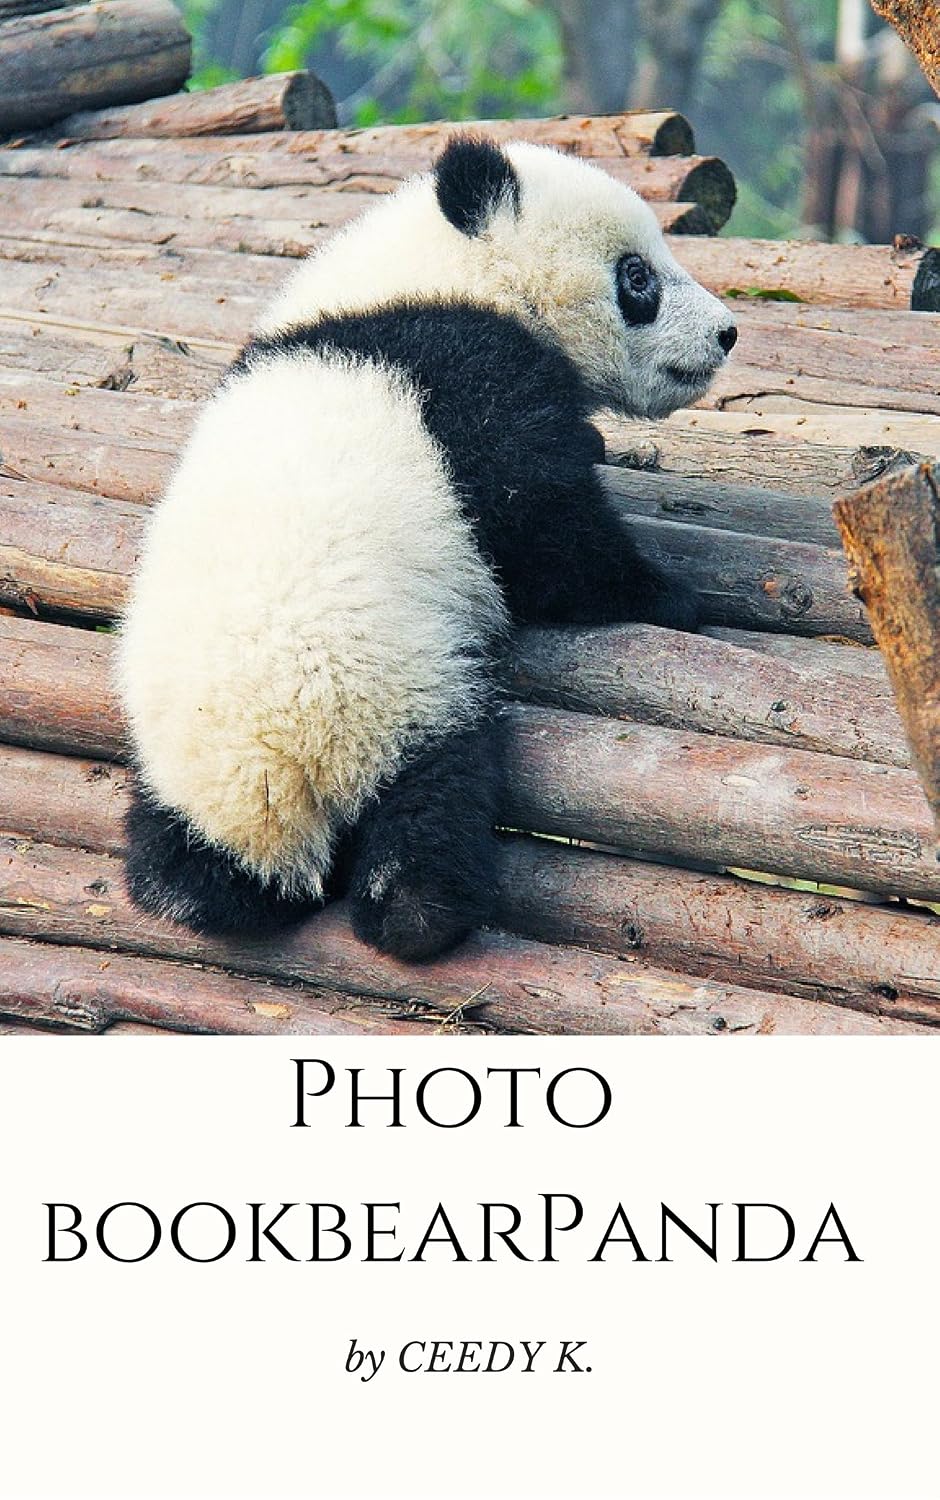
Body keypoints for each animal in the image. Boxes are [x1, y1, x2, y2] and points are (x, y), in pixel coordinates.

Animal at [118, 135, 737, 960]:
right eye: (637, 277)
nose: (726, 334)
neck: (437, 274)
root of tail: (273, 771)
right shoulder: (469, 377)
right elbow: (544, 531)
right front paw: (670, 594)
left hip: (180, 764)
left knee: (181, 858)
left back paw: (191, 887)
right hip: (397, 690)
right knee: (434, 797)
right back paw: (420, 912)